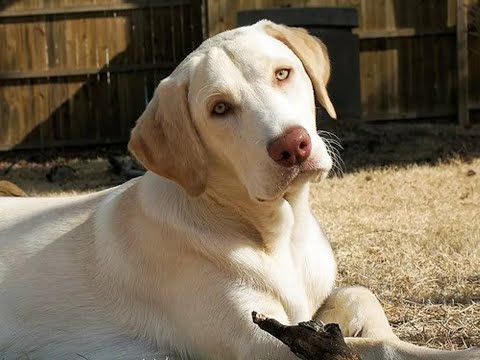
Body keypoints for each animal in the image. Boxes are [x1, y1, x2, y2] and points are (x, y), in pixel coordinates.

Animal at [0, 20, 478, 360]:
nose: (293, 145)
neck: (279, 234)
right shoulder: (257, 343)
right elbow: (381, 347)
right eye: (220, 109)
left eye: (283, 73)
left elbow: (359, 294)